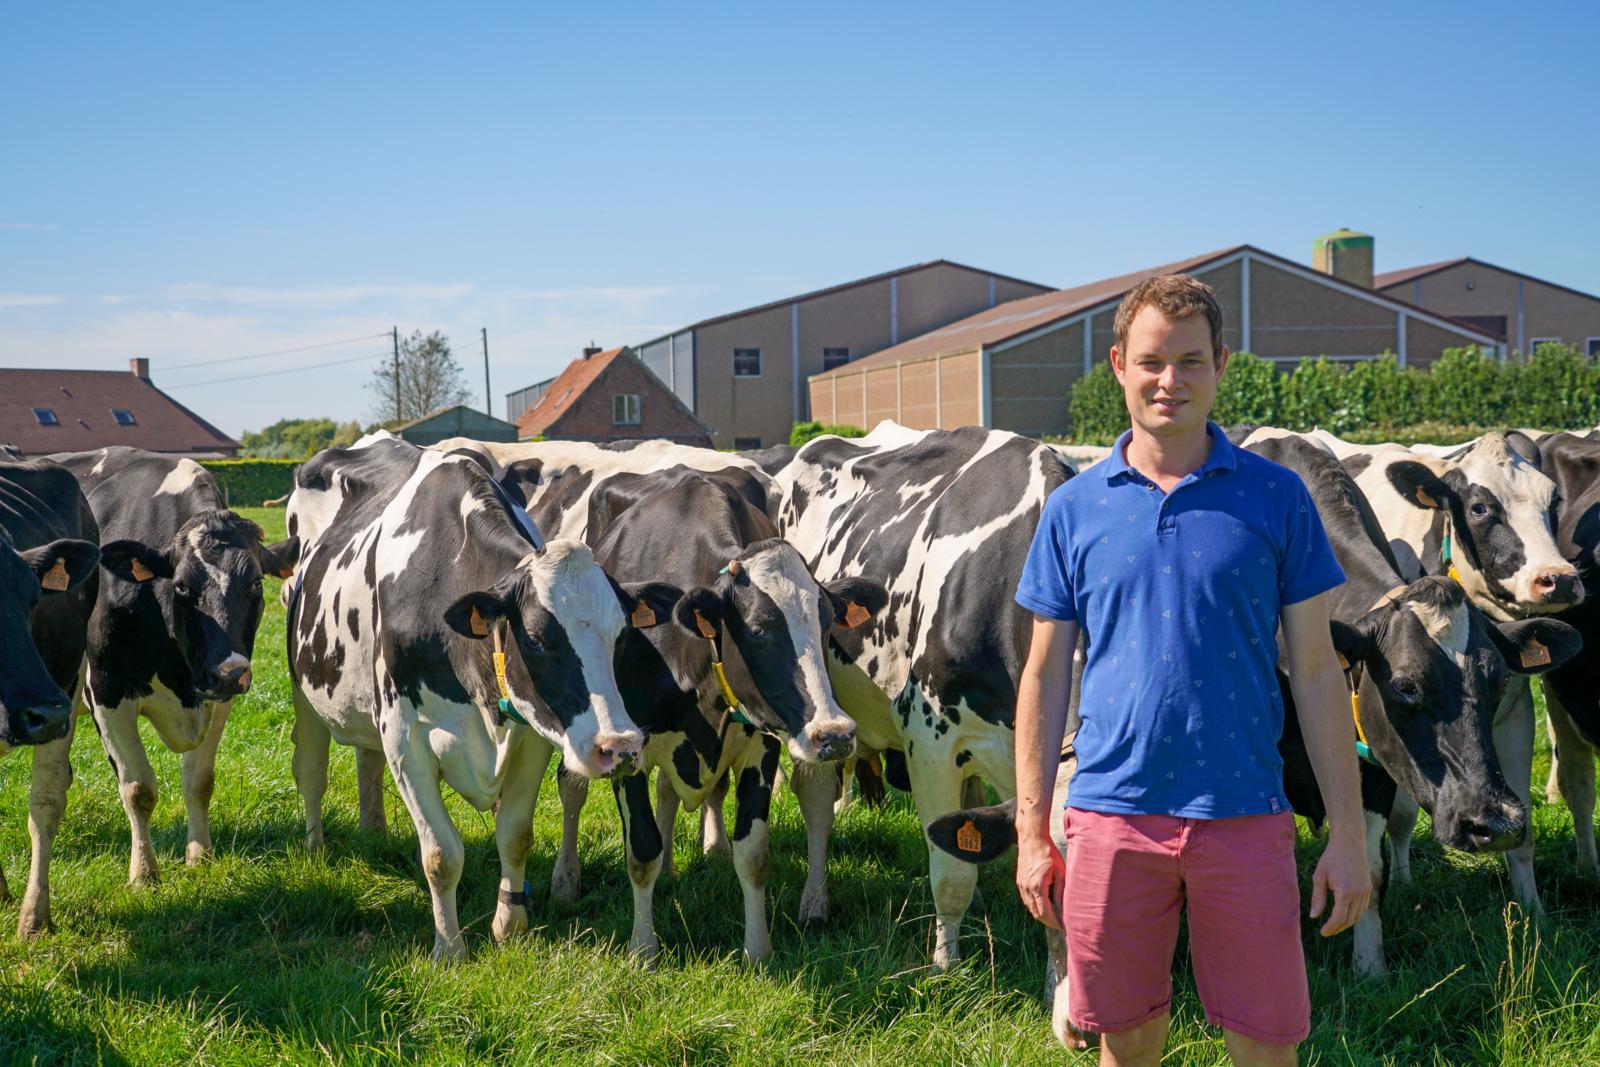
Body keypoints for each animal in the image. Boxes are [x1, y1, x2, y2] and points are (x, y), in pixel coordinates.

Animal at [52, 447, 300, 883]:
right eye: (182, 586)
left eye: (256, 583)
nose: (230, 671)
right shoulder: (106, 691)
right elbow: (138, 788)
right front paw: (143, 872)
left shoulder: (218, 696)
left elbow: (200, 782)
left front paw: (200, 855)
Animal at [284, 441, 665, 959]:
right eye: (537, 640)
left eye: (622, 636)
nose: (619, 746)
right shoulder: (405, 739)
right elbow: (441, 854)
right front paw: (449, 948)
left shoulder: (531, 737)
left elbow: (516, 835)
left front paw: (510, 926)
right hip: (303, 688)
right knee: (310, 770)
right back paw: (316, 847)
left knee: (366, 759)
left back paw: (374, 833)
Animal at [592, 470, 889, 966]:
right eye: (758, 629)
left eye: (827, 624)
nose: (834, 735)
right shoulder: (626, 749)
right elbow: (642, 849)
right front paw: (643, 947)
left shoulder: (760, 745)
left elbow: (752, 853)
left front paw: (758, 949)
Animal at [1312, 428, 1587, 908]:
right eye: (1479, 507)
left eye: (1554, 501)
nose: (1560, 578)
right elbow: (1400, 816)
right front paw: (1402, 881)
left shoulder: (1515, 710)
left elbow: (1524, 833)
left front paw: (1533, 912)